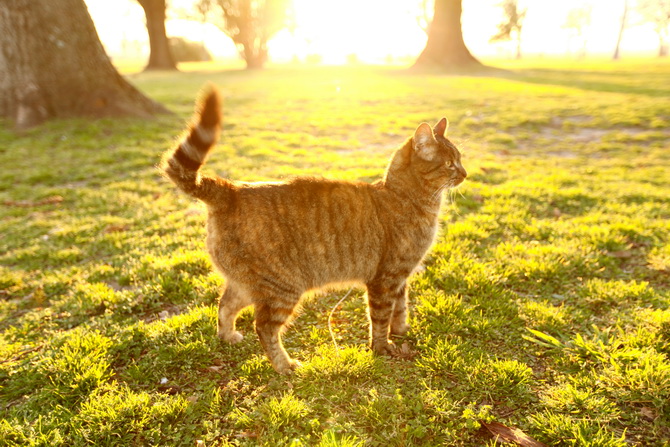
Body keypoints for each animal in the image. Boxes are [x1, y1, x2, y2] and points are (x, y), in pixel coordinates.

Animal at [162, 86, 468, 374]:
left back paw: (228, 337)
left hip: (246, 283)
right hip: (283, 286)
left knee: (224, 305)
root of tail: (232, 190)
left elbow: (400, 308)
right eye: (449, 163)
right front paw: (383, 347)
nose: (465, 173)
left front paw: (402, 331)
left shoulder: (401, 276)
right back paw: (284, 365)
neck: (406, 196)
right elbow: (381, 318)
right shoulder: (385, 278)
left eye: (460, 159)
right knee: (264, 327)